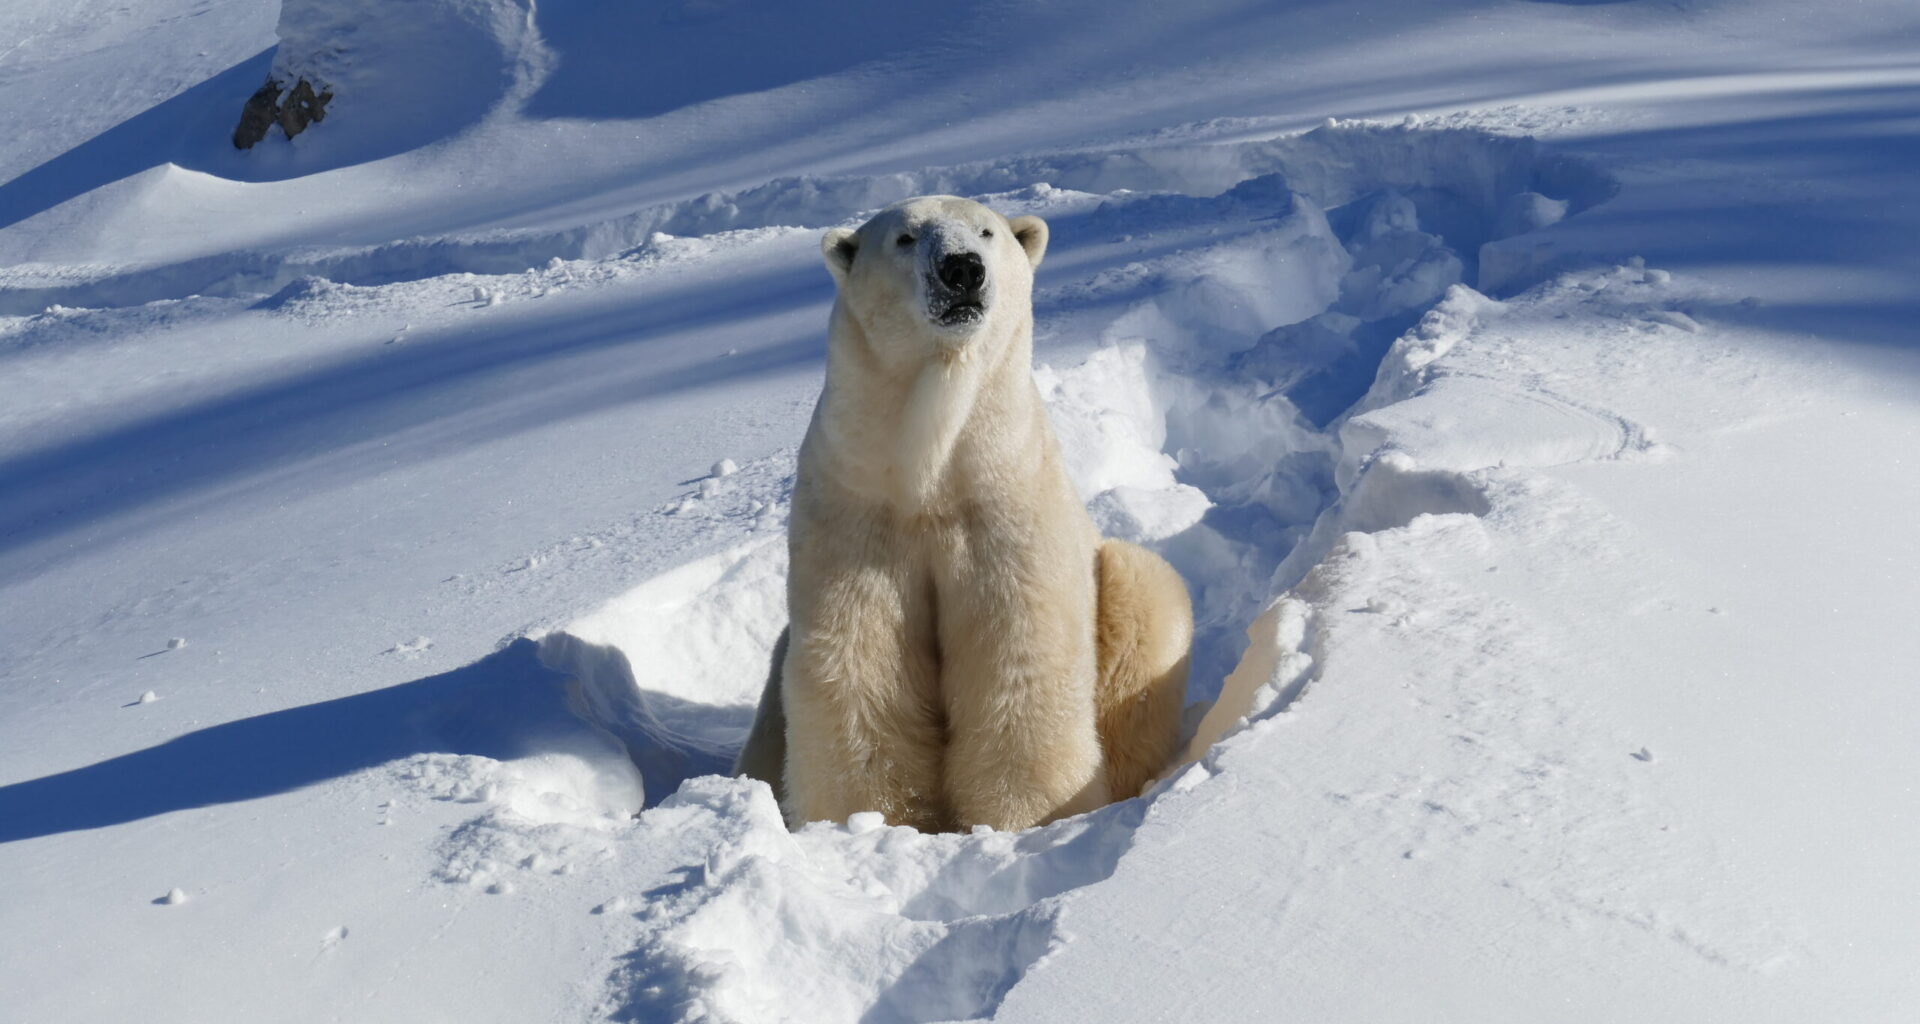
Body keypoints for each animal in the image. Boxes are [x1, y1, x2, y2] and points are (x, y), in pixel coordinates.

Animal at [733, 195, 1193, 833]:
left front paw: (1029, 818)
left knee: (1143, 601)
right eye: (905, 237)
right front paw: (865, 821)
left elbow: (1017, 653)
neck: (930, 477)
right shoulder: (858, 509)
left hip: (1125, 595)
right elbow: (860, 663)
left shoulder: (1004, 502)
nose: (961, 269)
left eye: (987, 231)